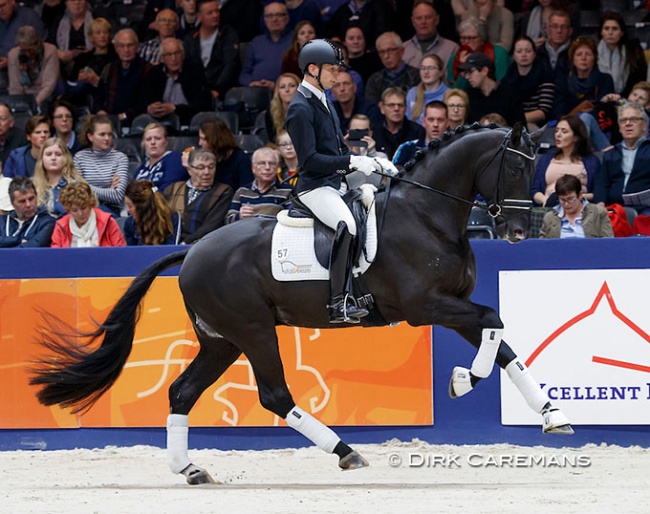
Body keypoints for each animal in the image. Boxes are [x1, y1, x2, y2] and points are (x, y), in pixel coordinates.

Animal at [30, 122, 568, 482]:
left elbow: (501, 341)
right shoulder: (426, 307)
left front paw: (551, 415)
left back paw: (190, 468)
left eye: (534, 166)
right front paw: (462, 381)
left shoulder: (453, 303)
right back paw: (346, 451)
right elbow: (495, 323)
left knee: (182, 392)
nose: (517, 230)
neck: (427, 214)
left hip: (221, 340)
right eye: (514, 166)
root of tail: (194, 250)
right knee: (274, 395)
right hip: (252, 331)